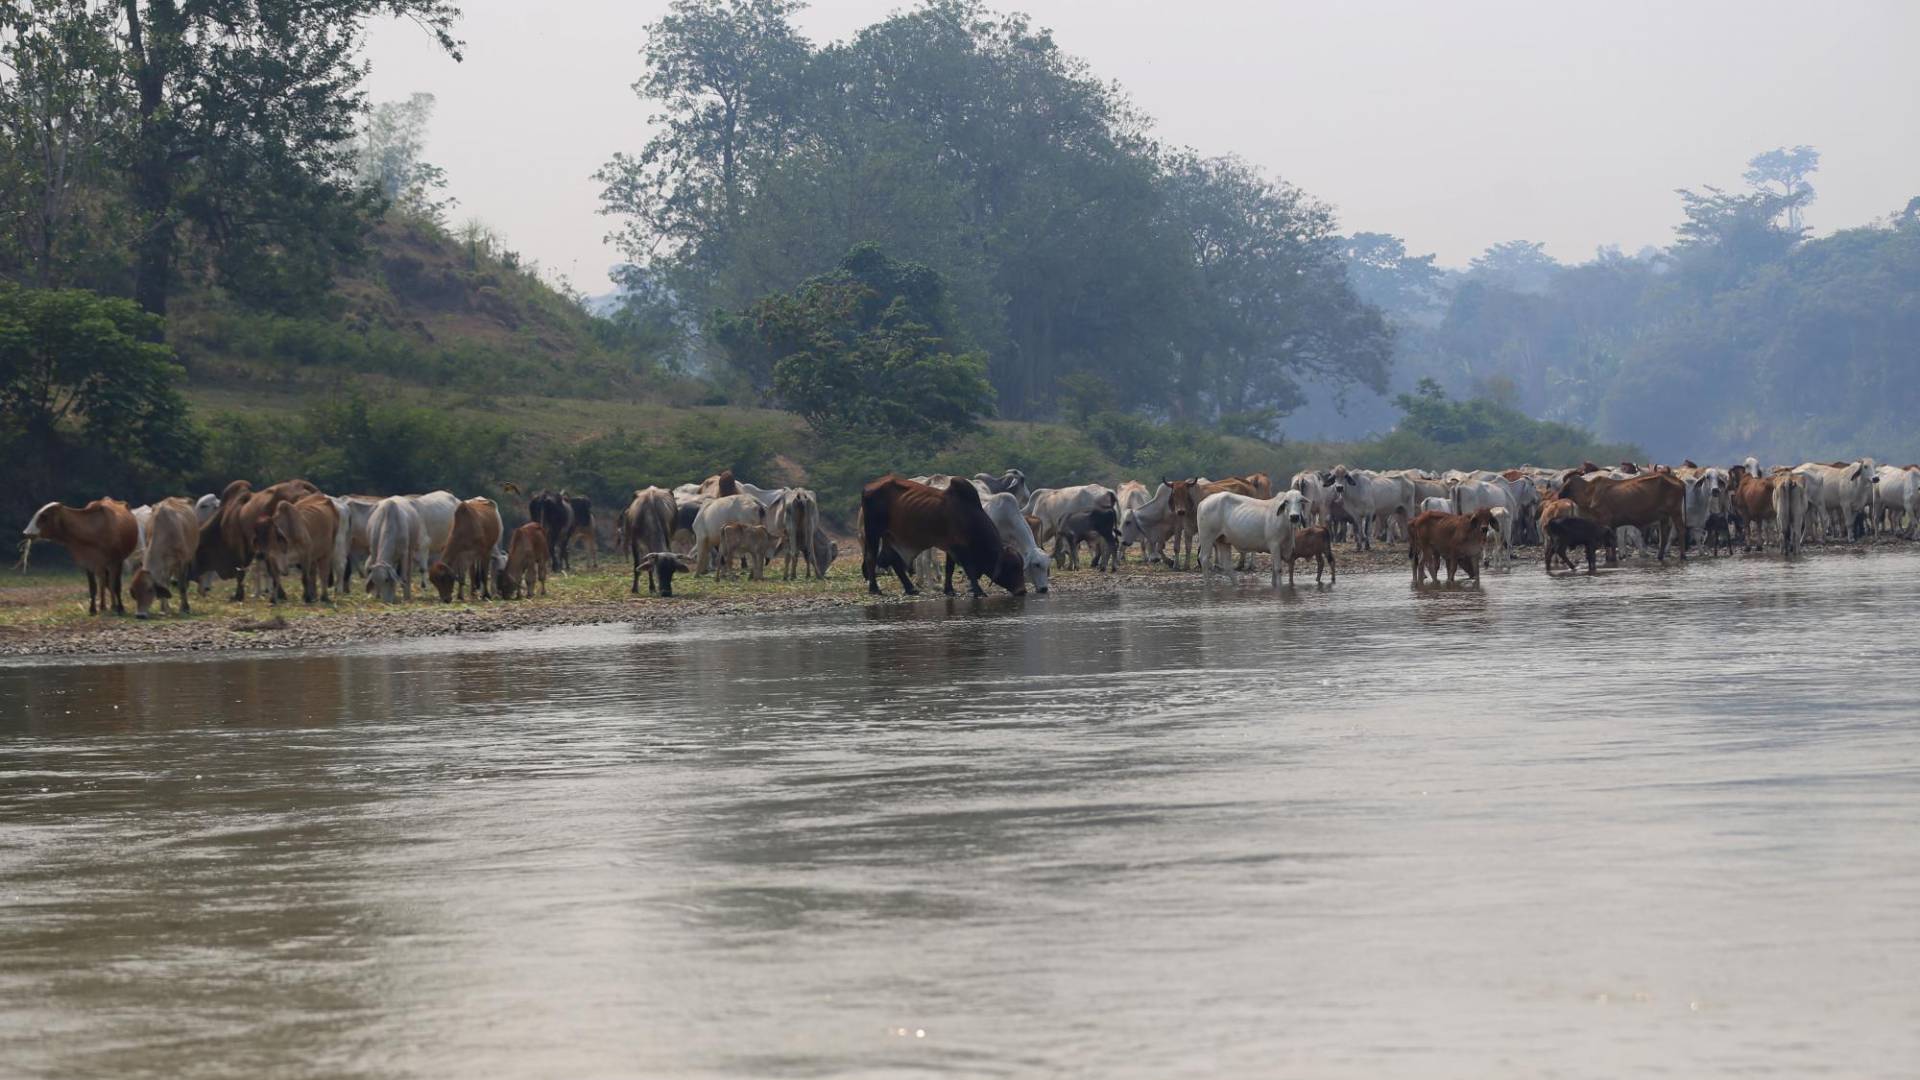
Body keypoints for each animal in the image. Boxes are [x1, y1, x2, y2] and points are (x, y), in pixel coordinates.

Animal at [864, 472, 1029, 595]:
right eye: (1012, 567)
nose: (1022, 591)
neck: (969, 515)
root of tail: (869, 486)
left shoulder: (952, 546)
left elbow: (950, 568)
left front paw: (949, 590)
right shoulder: (960, 548)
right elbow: (969, 569)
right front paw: (978, 591)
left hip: (890, 536)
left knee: (894, 560)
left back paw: (910, 588)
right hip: (873, 532)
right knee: (872, 557)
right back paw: (875, 589)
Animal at [1551, 468, 1689, 557]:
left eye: (1566, 484)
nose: (1558, 495)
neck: (1589, 493)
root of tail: (1680, 481)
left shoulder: (1605, 521)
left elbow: (1609, 543)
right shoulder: (1611, 525)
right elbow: (1613, 543)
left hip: (1675, 512)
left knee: (1681, 530)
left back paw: (1682, 555)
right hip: (1664, 516)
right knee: (1664, 535)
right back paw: (1660, 556)